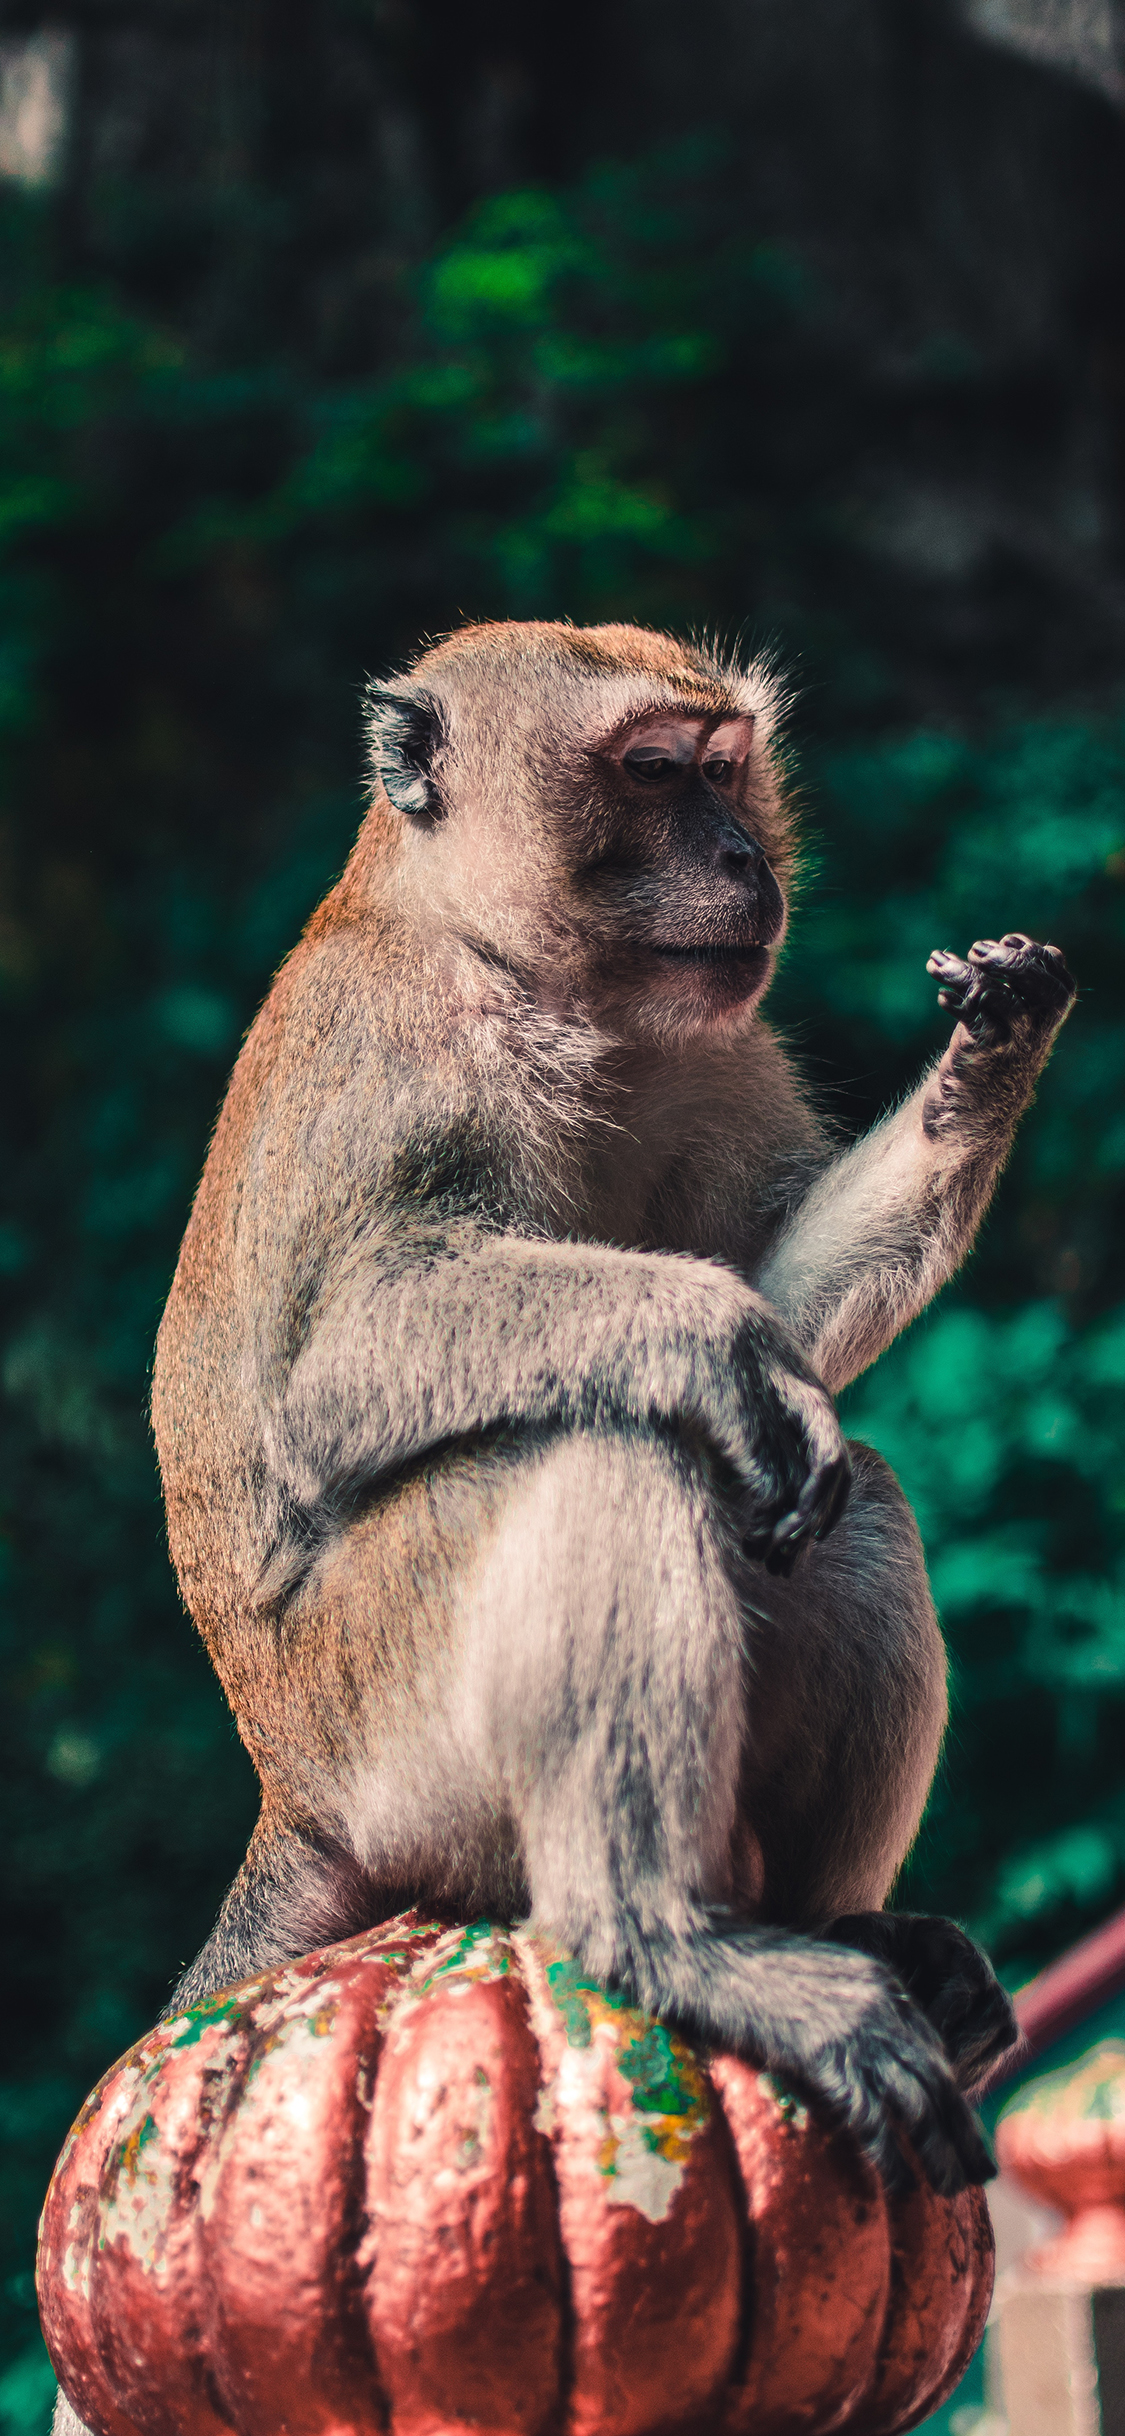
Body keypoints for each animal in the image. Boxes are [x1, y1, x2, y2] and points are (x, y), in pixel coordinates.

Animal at [143, 623, 1071, 2211]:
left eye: (724, 771)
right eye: (648, 772)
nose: (742, 858)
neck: (519, 968)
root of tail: (291, 1798)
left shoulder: (719, 1045)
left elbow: (788, 1328)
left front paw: (985, 1058)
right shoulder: (418, 1058)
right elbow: (337, 1372)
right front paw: (710, 1339)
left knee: (844, 1498)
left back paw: (840, 1932)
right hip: (387, 1734)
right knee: (603, 1453)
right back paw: (657, 1935)